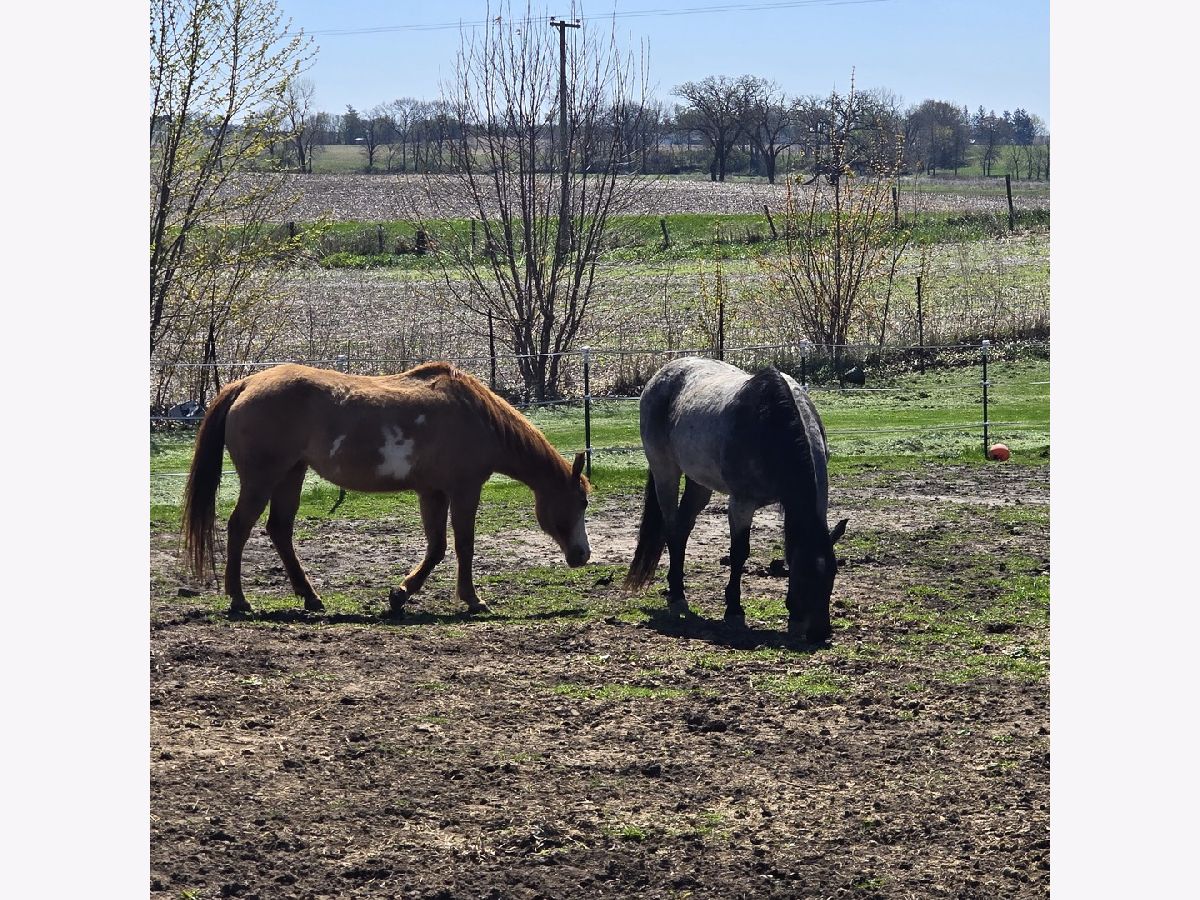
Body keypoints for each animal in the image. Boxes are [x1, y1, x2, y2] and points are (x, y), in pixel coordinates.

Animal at [183, 362, 591, 617]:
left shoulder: (432, 493)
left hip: (291, 475)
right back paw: (239, 600)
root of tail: (246, 384)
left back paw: (310, 597)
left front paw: (400, 595)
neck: (475, 415)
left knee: (279, 530)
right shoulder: (464, 491)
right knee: (240, 527)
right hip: (263, 478)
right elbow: (464, 545)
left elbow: (437, 547)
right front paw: (473, 600)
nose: (582, 555)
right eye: (582, 502)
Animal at [623, 357, 847, 644]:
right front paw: (734, 610)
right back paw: (677, 597)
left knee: (683, 529)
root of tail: (661, 375)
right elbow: (739, 553)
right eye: (803, 576)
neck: (770, 424)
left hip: (699, 483)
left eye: (832, 574)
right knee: (672, 529)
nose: (819, 633)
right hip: (665, 473)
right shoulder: (741, 503)